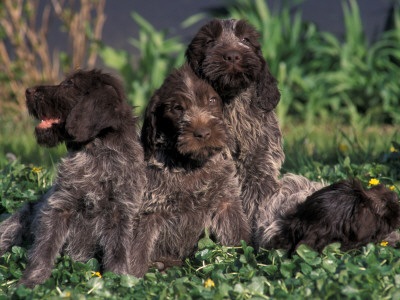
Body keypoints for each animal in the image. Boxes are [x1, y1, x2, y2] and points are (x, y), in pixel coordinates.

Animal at [0, 69, 146, 288]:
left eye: (69, 84)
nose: (28, 90)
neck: (97, 154)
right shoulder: (59, 208)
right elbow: (44, 250)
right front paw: (31, 282)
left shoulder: (120, 215)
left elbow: (118, 254)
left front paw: (118, 283)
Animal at [132, 63, 250, 278]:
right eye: (178, 108)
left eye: (212, 100)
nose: (203, 133)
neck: (191, 165)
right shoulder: (148, 212)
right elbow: (137, 251)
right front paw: (129, 277)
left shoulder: (226, 203)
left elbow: (239, 237)